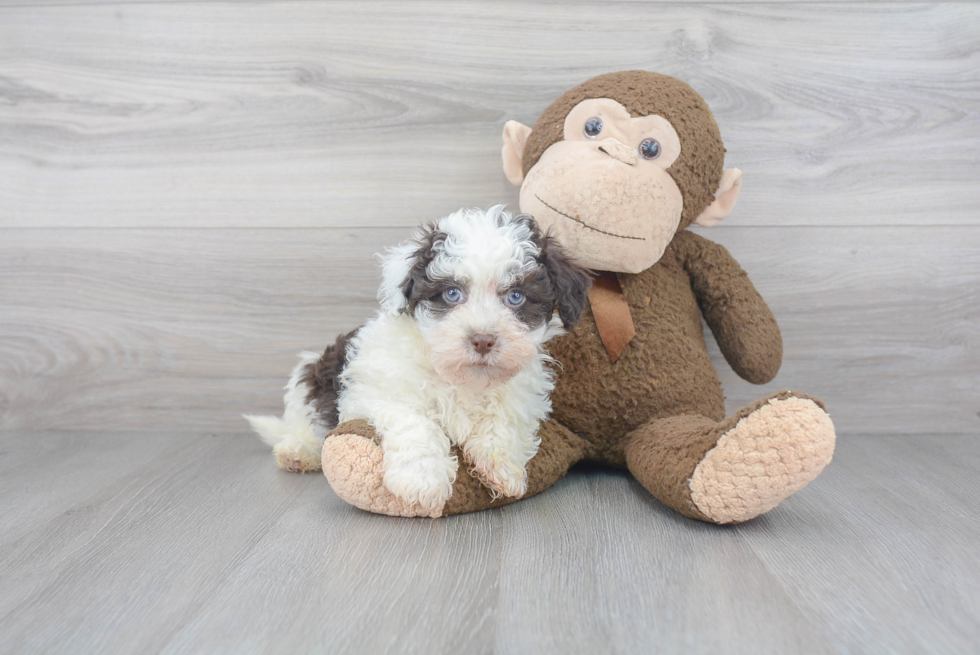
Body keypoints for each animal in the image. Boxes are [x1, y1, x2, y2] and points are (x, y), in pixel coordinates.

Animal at [249, 208, 592, 510]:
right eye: (452, 294)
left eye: (516, 296)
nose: (483, 340)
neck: (462, 378)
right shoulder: (378, 390)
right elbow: (415, 421)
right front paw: (422, 480)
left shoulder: (522, 392)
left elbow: (504, 417)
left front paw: (502, 466)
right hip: (312, 377)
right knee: (305, 421)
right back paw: (298, 451)